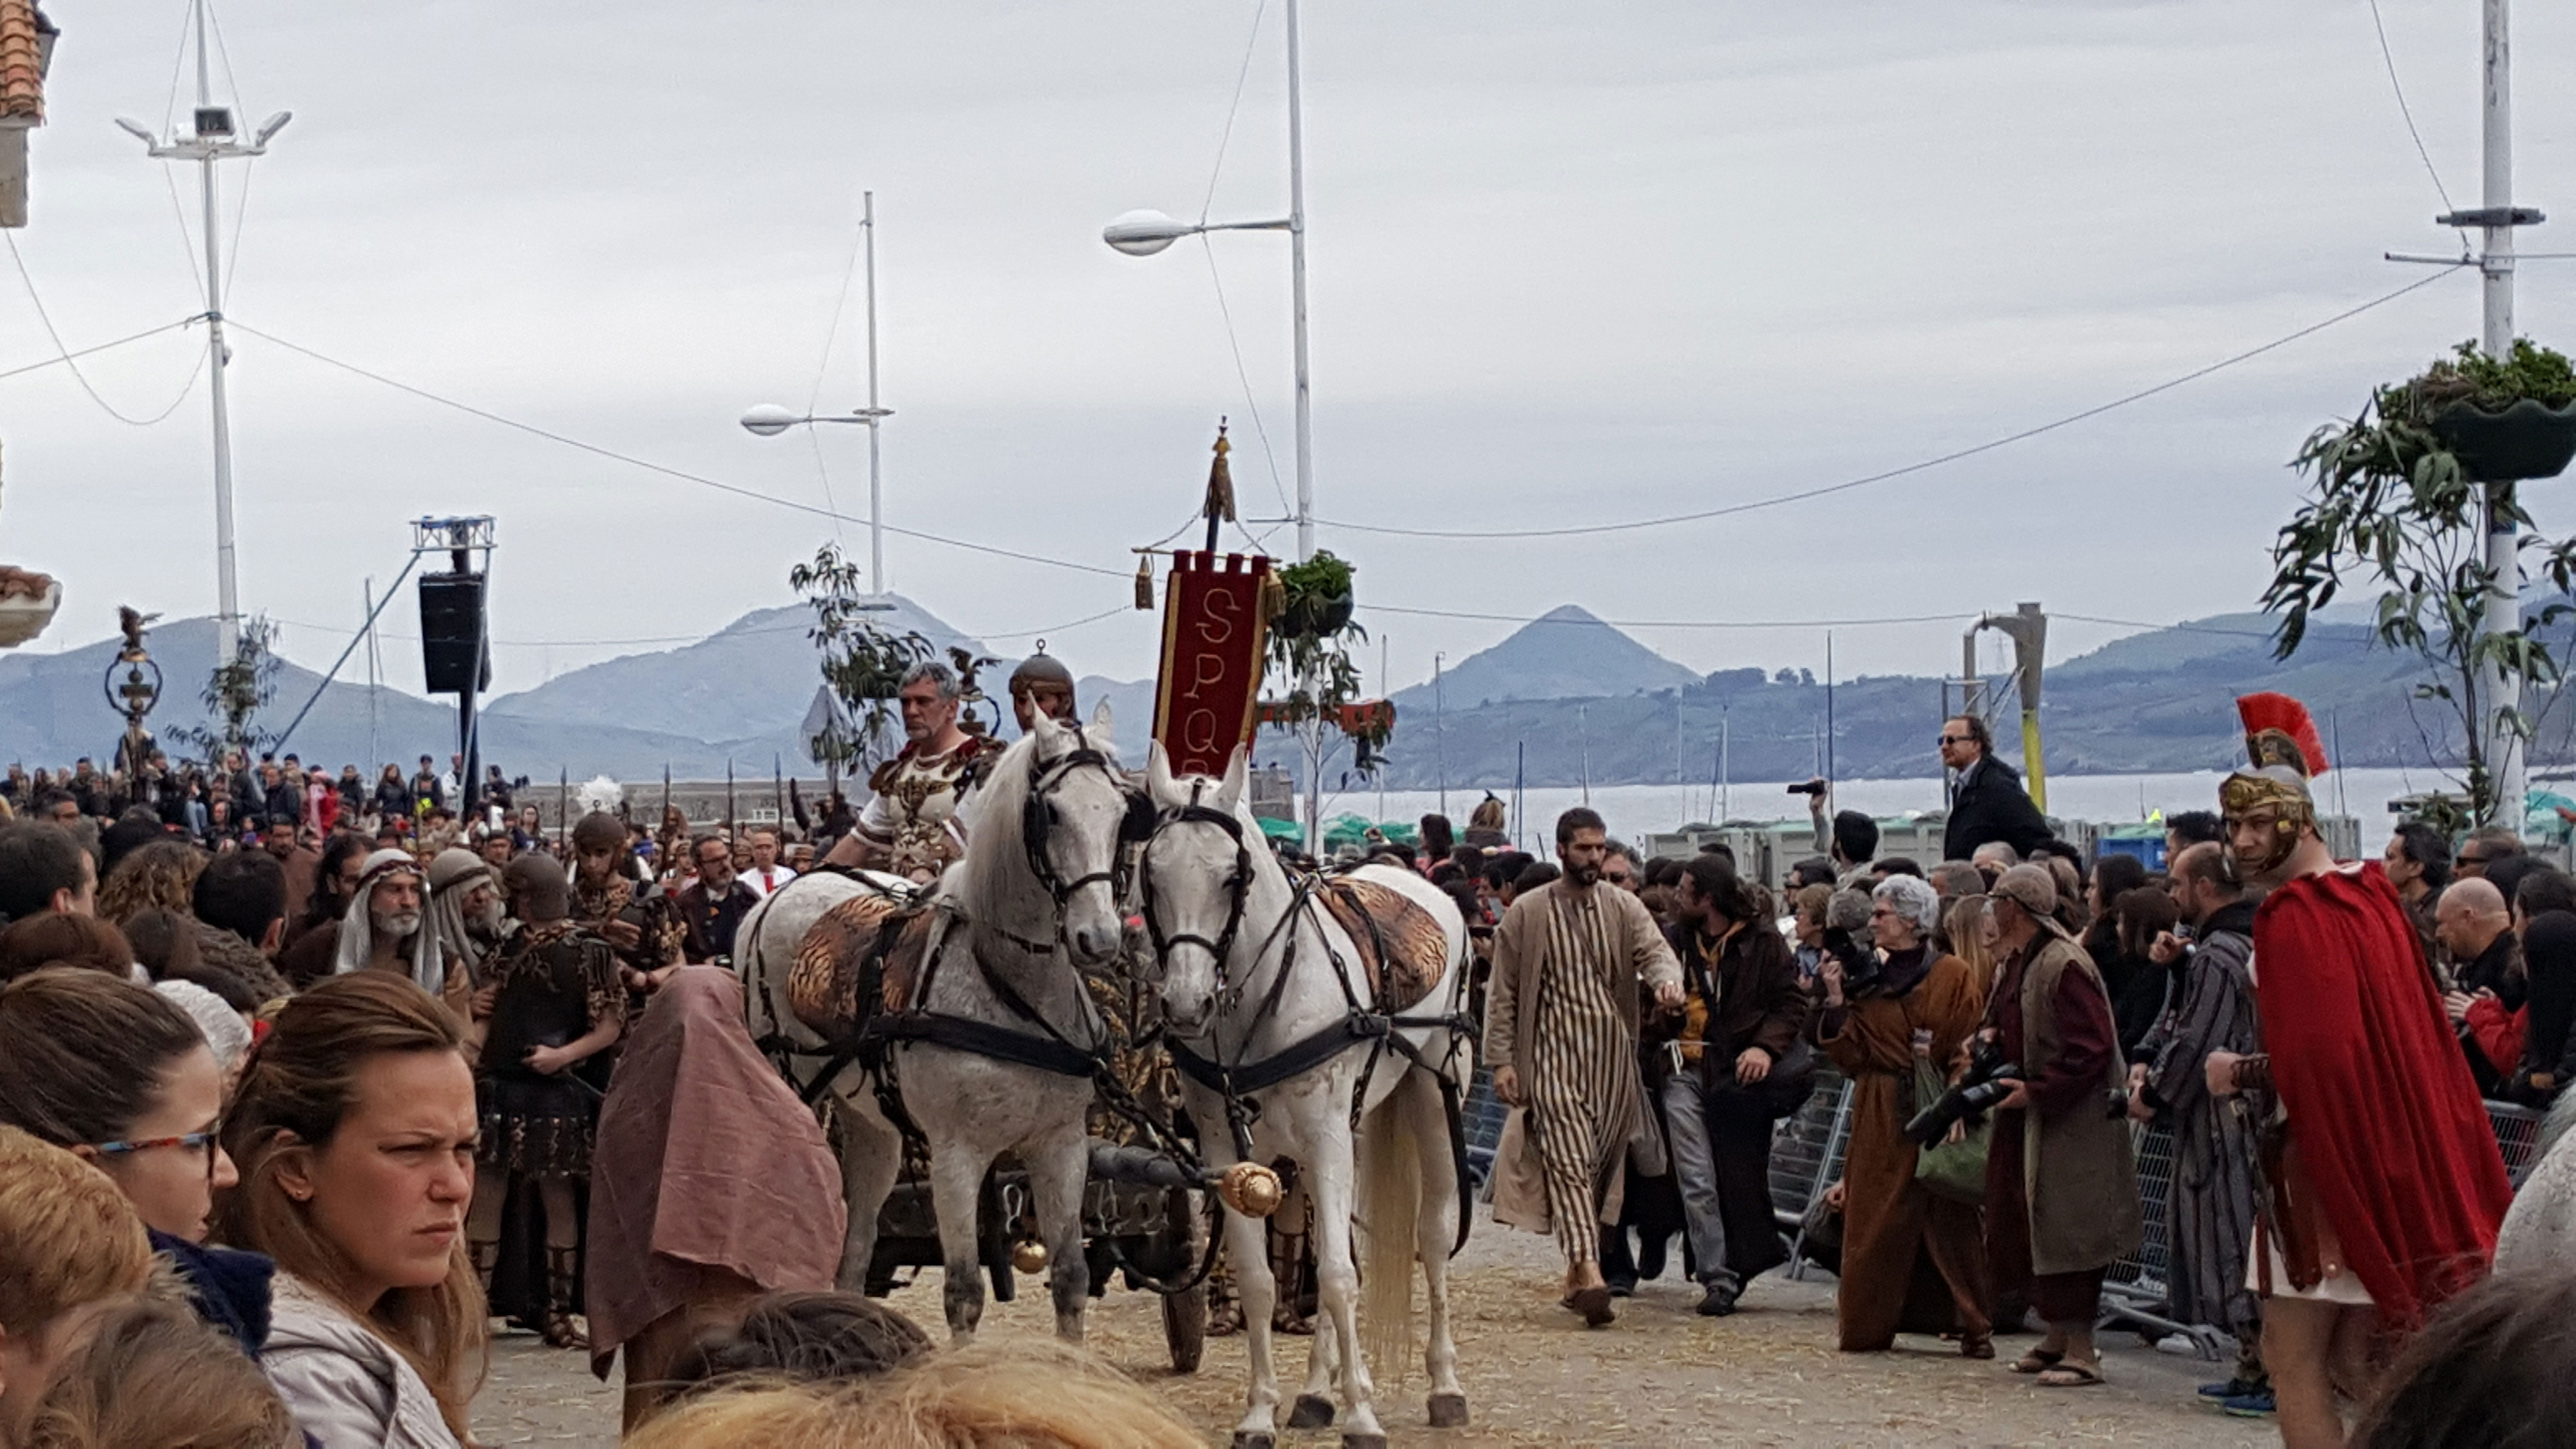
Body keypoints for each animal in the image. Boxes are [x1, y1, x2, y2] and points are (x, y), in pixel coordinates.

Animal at [726, 717, 1128, 1340]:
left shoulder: (1060, 1144)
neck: (1012, 990)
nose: (1100, 937)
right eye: (1051, 812)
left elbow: (1070, 1279)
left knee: (857, 1244)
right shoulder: (956, 1154)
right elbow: (963, 1292)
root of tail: (784, 890)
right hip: (790, 1087)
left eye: (1120, 811)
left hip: (871, 1126)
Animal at [1143, 742, 1483, 1444]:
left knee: (1434, 1235)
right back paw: (1315, 1393)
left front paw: (1362, 1415)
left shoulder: (1326, 1140)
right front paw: (1261, 1411)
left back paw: (1443, 1386)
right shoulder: (1229, 1153)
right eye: (1152, 875)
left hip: (1433, 1099)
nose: (1187, 1004)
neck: (1268, 995)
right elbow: (1261, 1280)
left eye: (1232, 877)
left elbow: (1336, 1276)